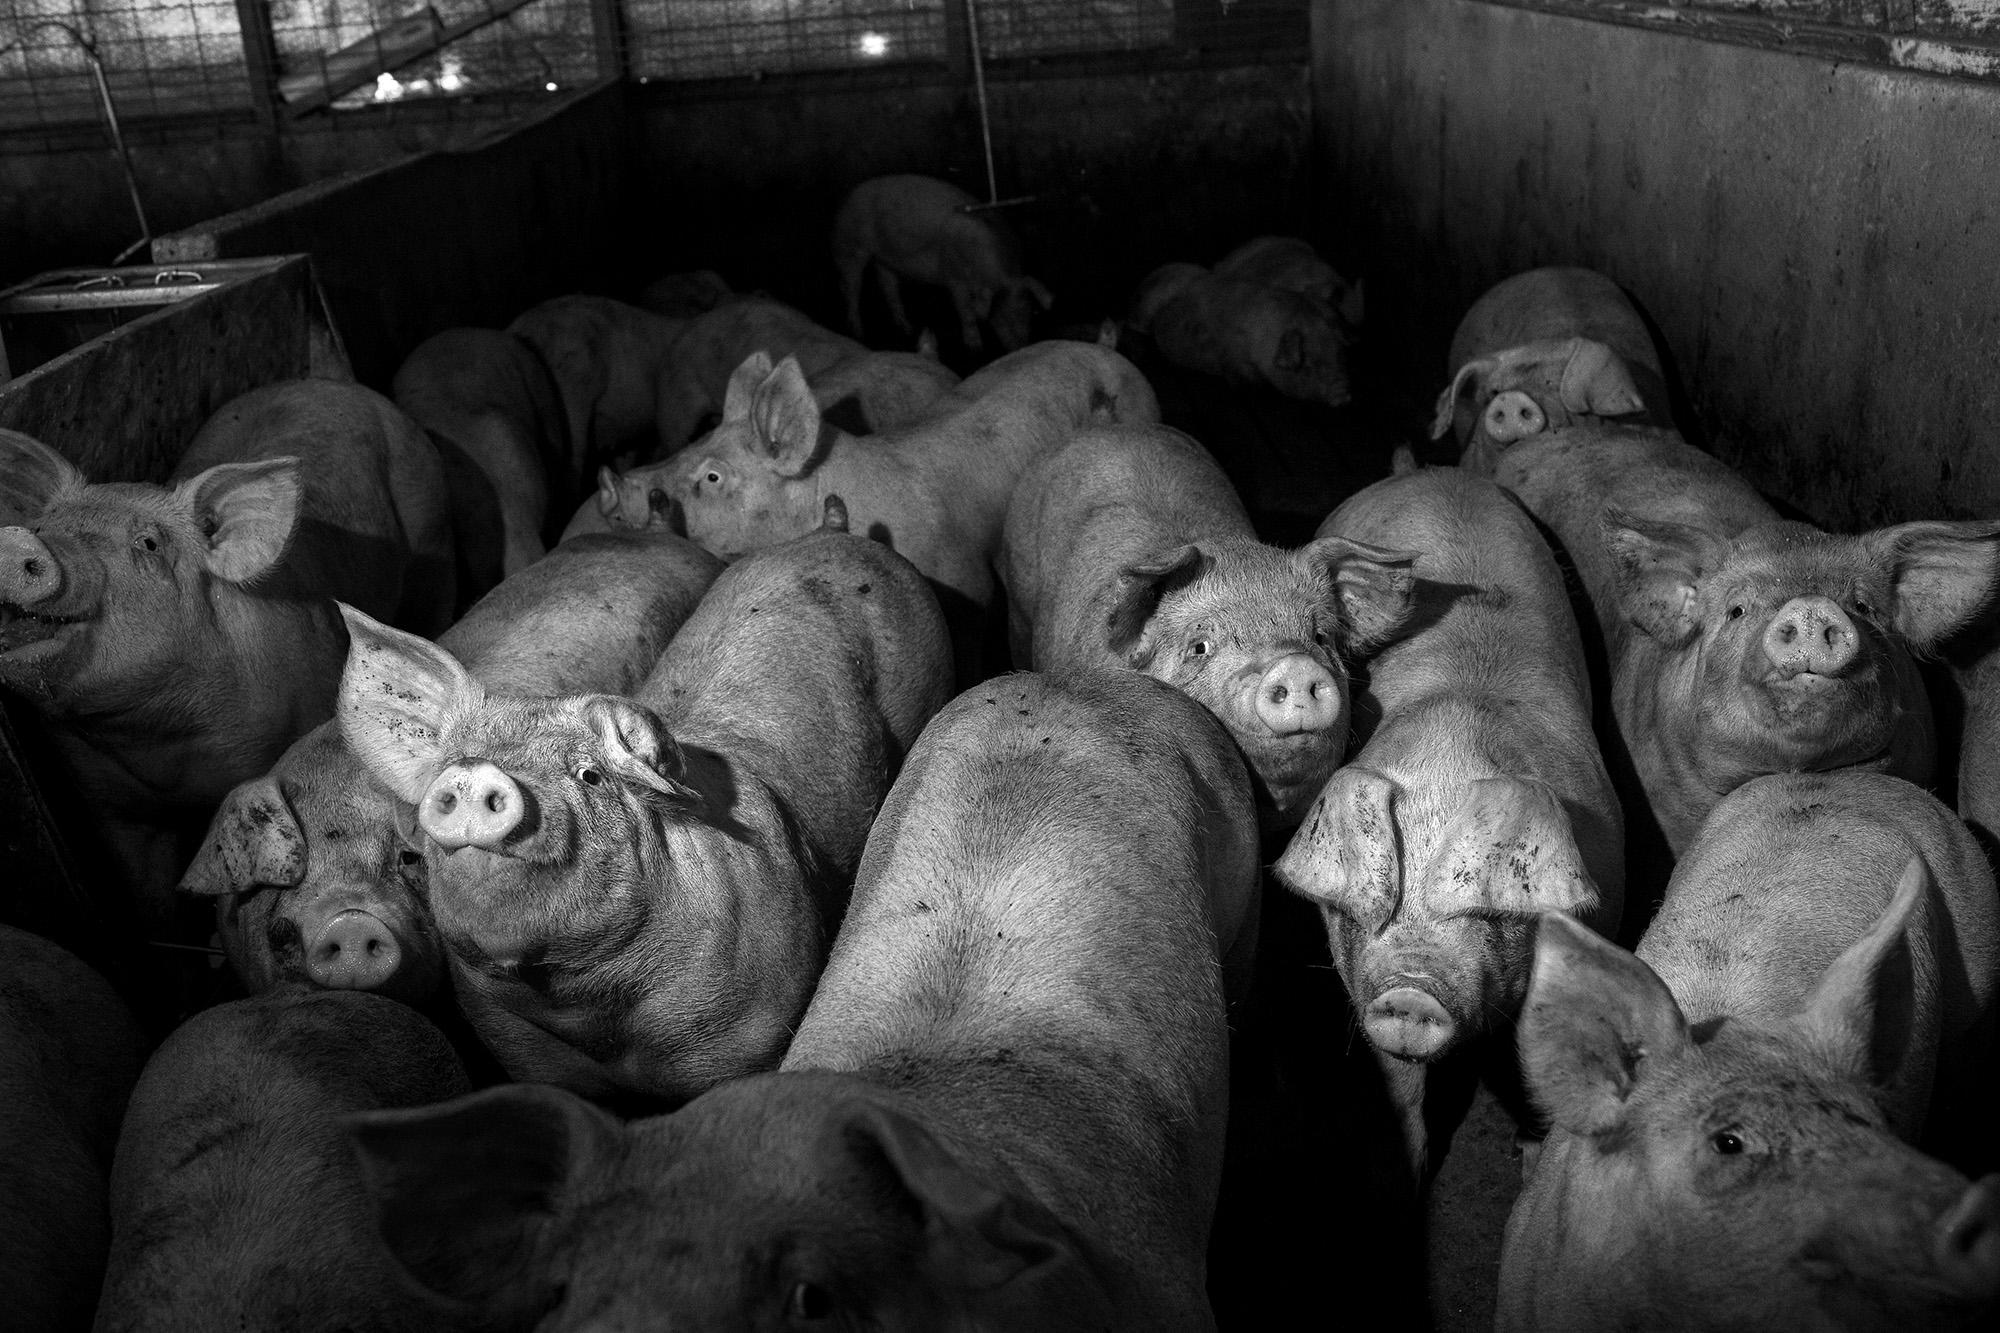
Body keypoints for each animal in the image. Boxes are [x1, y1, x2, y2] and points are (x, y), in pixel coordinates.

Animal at [0, 381, 453, 916]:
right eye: (45, 526)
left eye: (148, 543)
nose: (20, 541)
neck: (161, 742)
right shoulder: (107, 805)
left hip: (433, 536)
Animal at [337, 520, 952, 1103]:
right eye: (450, 764)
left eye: (590, 775)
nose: (470, 772)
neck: (593, 1013)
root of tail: (835, 532)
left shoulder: (757, 1024)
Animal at [832, 173, 1055, 352]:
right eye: (1004, 315)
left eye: (1028, 313)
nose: (1020, 347)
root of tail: (847, 197)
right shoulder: (953, 275)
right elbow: (964, 309)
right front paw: (975, 347)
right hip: (851, 244)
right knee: (852, 288)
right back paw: (859, 334)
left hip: (884, 258)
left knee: (889, 287)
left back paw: (908, 329)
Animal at [1274, 461, 1625, 1180]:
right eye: (1367, 907)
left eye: (1488, 911)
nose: (1410, 988)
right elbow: (1401, 1087)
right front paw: (1409, 1171)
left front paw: (1530, 1155)